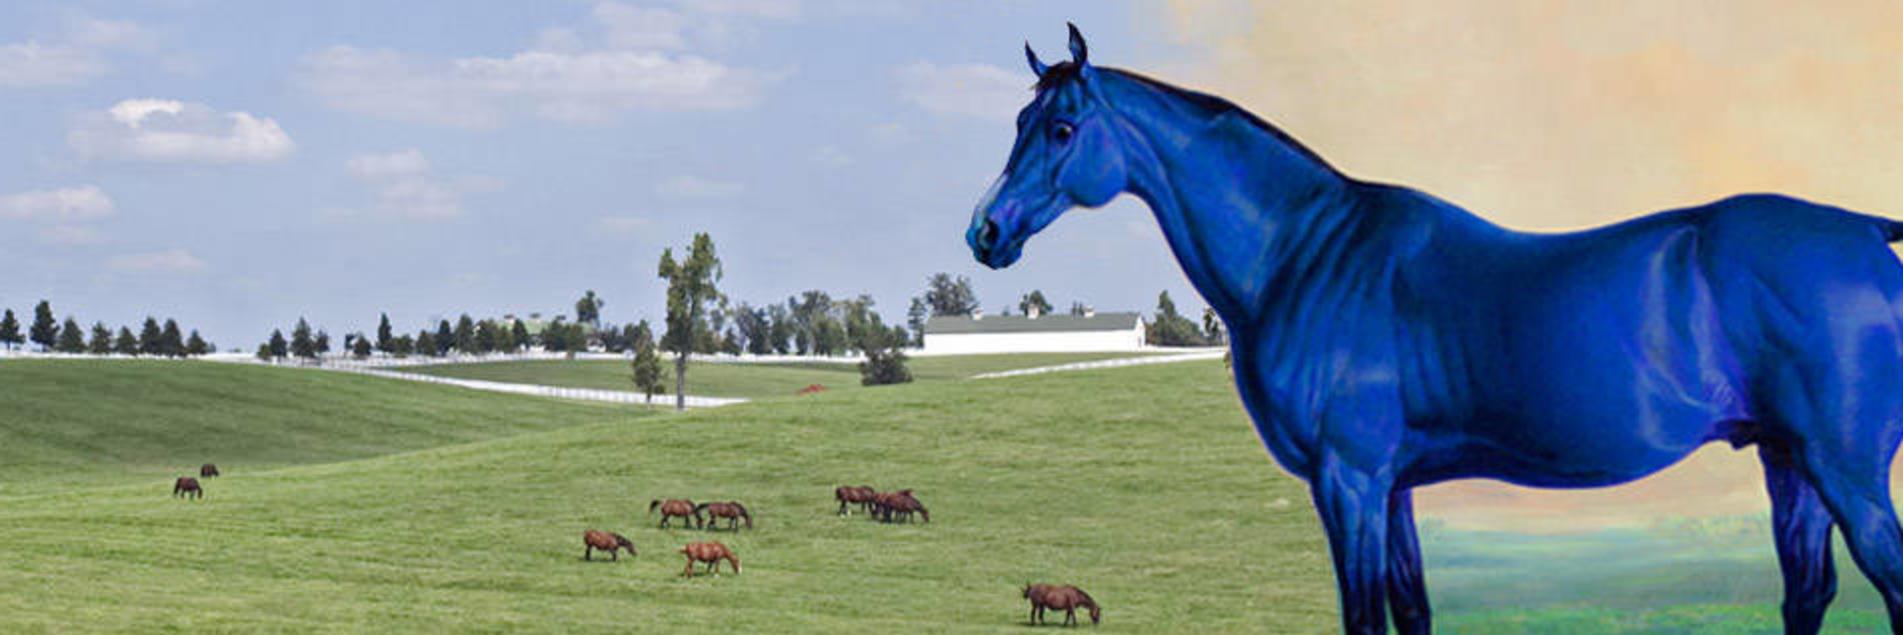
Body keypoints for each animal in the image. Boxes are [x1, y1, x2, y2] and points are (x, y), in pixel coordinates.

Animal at [972, 25, 1903, 634]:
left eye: (1061, 128)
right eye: (1015, 124)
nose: (987, 231)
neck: (1305, 254)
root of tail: (1865, 232)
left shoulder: (1347, 480)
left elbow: (1363, 615)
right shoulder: (1393, 488)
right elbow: (1411, 609)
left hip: (1844, 469)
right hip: (1789, 464)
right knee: (1806, 594)